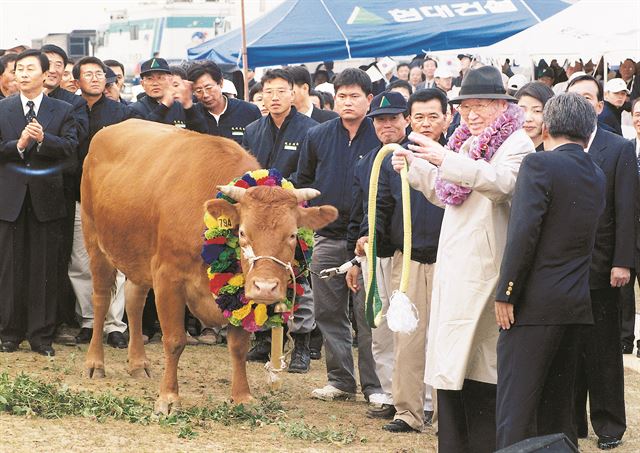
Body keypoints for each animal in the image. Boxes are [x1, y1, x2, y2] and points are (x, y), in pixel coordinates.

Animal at [82, 119, 338, 414]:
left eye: (293, 235)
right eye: (242, 233)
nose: (265, 287)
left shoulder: (239, 292)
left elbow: (238, 346)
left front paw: (242, 396)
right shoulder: (168, 277)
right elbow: (174, 340)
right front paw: (168, 397)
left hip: (138, 257)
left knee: (134, 301)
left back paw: (138, 363)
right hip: (95, 242)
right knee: (101, 299)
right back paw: (94, 363)